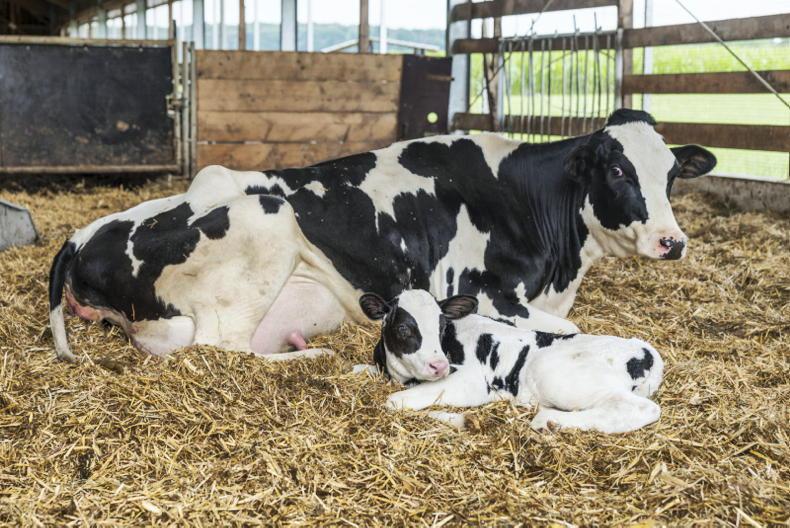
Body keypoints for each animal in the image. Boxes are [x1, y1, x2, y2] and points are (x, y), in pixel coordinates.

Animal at [49, 109, 715, 361]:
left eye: (672, 173)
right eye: (618, 170)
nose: (672, 241)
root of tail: (82, 234)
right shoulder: (486, 289)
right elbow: (567, 331)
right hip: (264, 220)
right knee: (223, 347)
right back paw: (310, 355)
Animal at [359, 289, 664, 434]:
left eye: (442, 325)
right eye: (403, 328)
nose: (439, 365)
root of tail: (644, 350)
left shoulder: (473, 380)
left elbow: (394, 402)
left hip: (558, 376)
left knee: (639, 409)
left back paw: (549, 421)